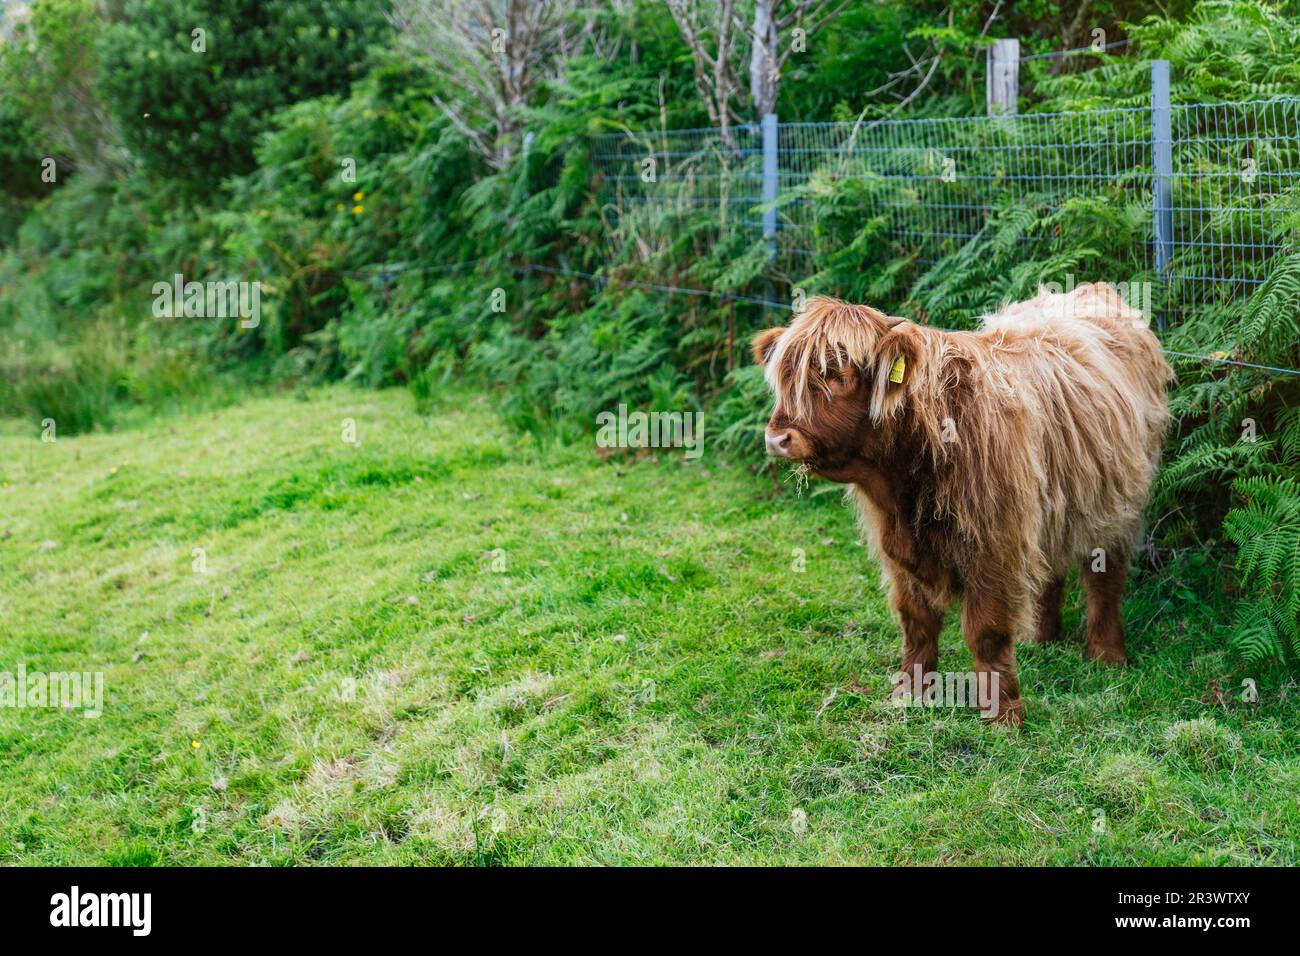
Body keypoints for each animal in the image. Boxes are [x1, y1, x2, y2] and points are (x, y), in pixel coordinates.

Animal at [754, 283, 1170, 723]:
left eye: (839, 374)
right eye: (784, 378)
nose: (777, 438)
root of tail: (1096, 289)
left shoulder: (994, 544)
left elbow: (986, 631)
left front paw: (1003, 715)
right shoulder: (898, 551)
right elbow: (916, 622)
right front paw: (910, 693)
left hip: (1118, 502)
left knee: (1105, 579)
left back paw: (1107, 655)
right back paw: (1040, 637)